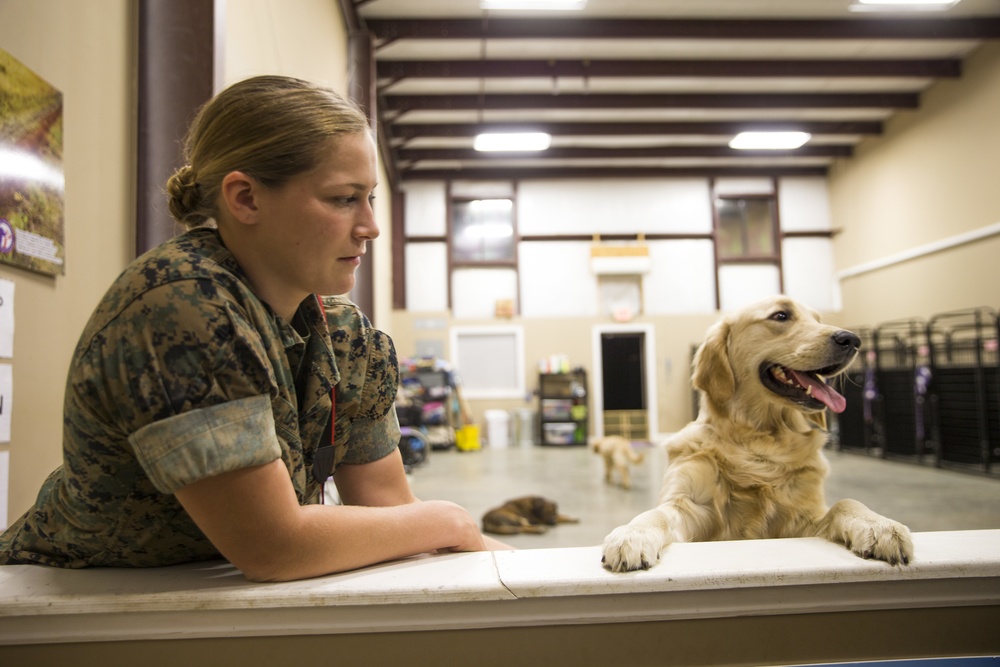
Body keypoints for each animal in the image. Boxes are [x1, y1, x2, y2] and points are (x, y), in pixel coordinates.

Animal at [600, 298, 916, 576]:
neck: (758, 438)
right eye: (780, 315)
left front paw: (879, 526)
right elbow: (656, 513)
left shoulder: (802, 520)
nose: (851, 339)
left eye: (817, 320)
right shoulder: (692, 506)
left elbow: (845, 503)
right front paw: (632, 534)